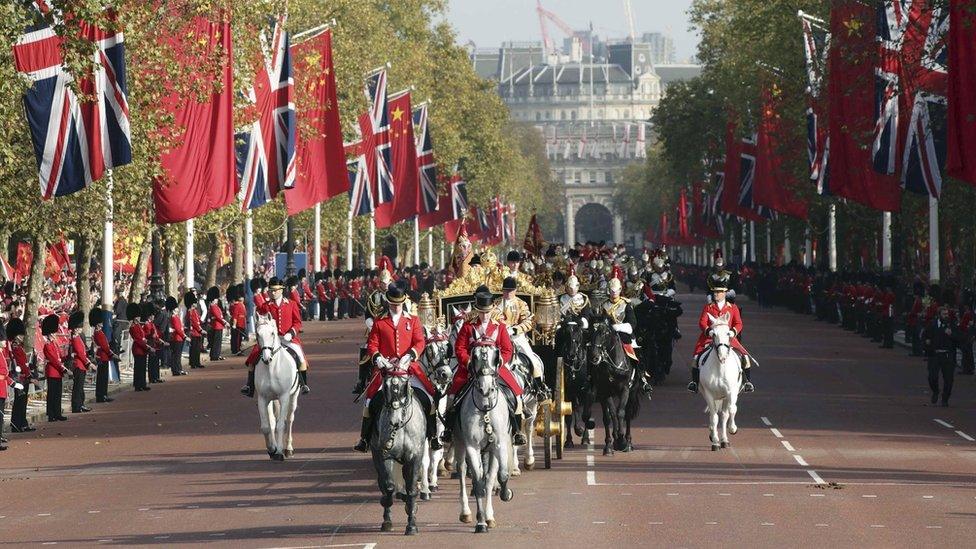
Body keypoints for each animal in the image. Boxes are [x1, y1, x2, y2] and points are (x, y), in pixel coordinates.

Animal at [252, 312, 298, 458]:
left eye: (272, 333)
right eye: (257, 334)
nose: (267, 358)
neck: (271, 369)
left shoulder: (284, 397)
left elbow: (281, 425)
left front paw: (279, 452)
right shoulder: (262, 398)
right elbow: (267, 426)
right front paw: (272, 448)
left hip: (293, 396)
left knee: (289, 419)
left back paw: (288, 448)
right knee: (273, 420)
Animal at [370, 368, 428, 536]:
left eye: (404, 386)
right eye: (386, 387)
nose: (394, 422)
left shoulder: (415, 457)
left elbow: (412, 489)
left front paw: (412, 524)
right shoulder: (384, 455)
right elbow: (389, 486)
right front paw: (387, 512)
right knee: (384, 483)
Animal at [460, 342, 520, 532]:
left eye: (495, 356)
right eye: (475, 356)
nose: (485, 389)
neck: (485, 408)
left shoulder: (499, 444)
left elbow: (501, 475)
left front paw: (506, 494)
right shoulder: (472, 446)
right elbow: (478, 482)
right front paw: (480, 522)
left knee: (491, 477)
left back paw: (490, 515)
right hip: (459, 444)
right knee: (462, 471)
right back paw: (466, 513)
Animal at [588, 316, 640, 454]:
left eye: (604, 333)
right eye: (590, 331)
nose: (594, 356)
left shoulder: (625, 390)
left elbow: (620, 413)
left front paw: (622, 440)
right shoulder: (604, 392)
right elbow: (609, 416)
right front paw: (609, 444)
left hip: (632, 392)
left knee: (627, 414)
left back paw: (628, 442)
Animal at [700, 312, 740, 450]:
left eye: (728, 333)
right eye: (713, 334)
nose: (722, 356)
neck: (720, 367)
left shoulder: (731, 392)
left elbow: (732, 410)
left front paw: (732, 428)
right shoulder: (709, 394)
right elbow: (714, 417)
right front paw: (715, 441)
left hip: (725, 397)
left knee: (724, 415)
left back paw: (725, 440)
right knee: (715, 415)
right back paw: (715, 436)